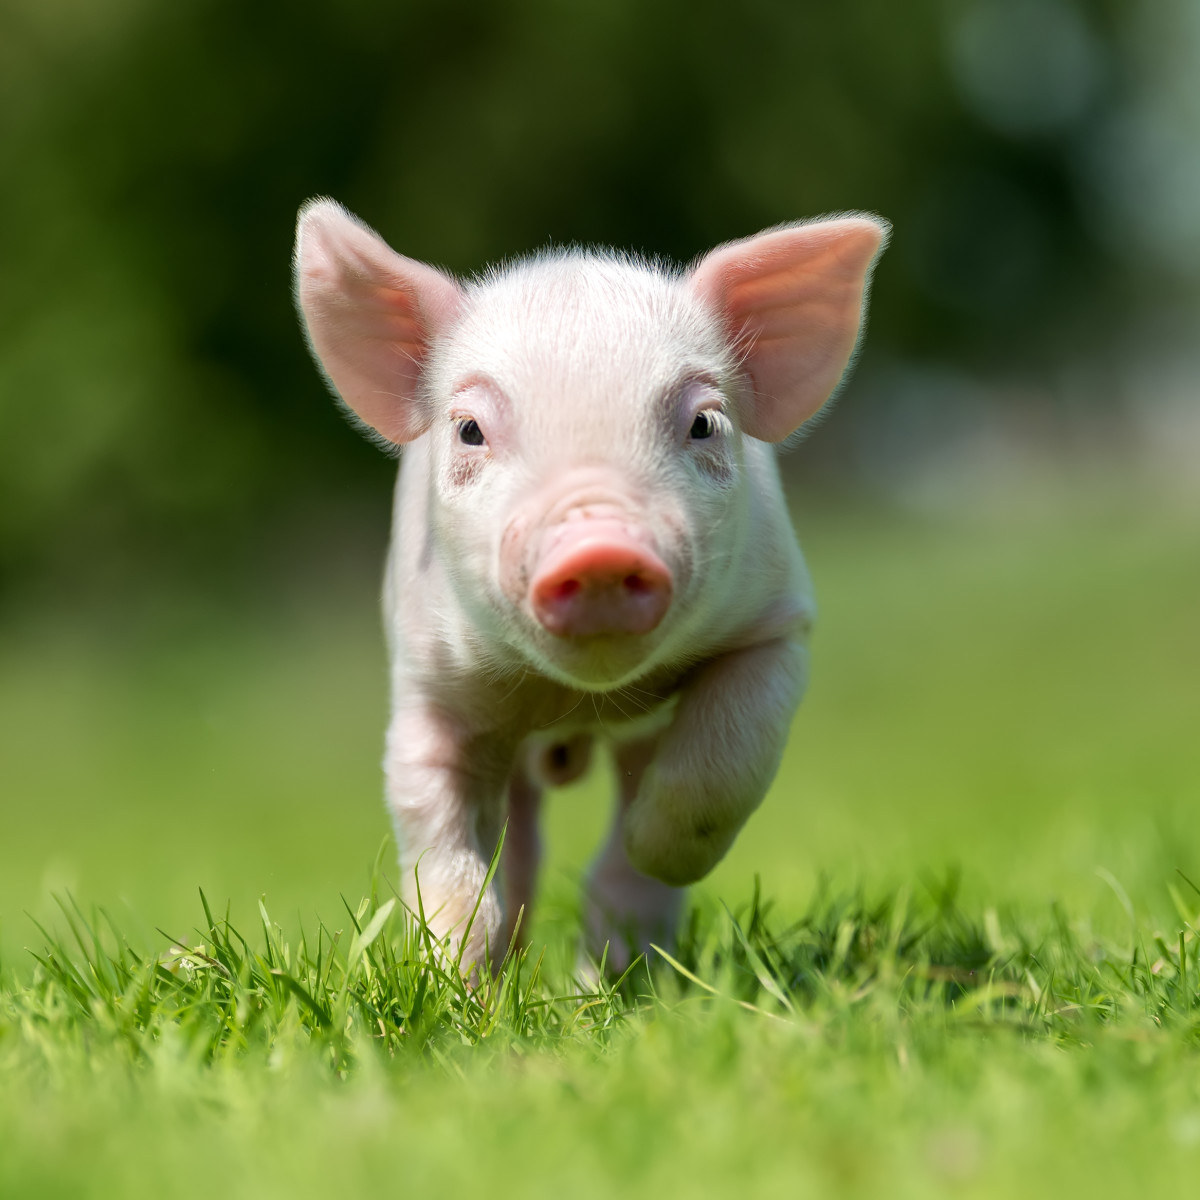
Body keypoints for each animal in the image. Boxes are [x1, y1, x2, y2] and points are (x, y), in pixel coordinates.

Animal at [293, 199, 887, 971]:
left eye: (704, 422)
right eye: (470, 430)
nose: (599, 545)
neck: (579, 700)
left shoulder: (776, 627)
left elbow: (727, 760)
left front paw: (651, 848)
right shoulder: (429, 682)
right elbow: (437, 835)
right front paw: (450, 973)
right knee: (520, 845)